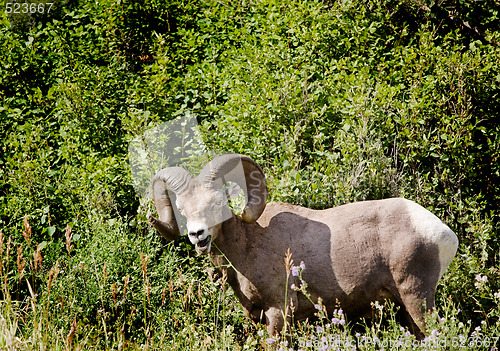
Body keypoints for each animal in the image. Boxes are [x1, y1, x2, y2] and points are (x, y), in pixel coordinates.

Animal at [147, 153, 458, 338]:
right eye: (183, 210)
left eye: (216, 204)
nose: (197, 235)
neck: (249, 247)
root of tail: (443, 233)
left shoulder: (278, 311)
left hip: (416, 297)